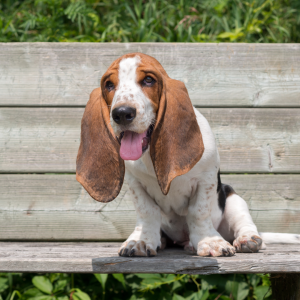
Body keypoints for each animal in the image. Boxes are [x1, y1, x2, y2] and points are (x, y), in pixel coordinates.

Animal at [77, 52, 298, 256]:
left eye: (148, 80)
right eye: (109, 85)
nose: (122, 113)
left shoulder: (206, 179)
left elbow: (198, 212)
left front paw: (210, 242)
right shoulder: (135, 184)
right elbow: (148, 213)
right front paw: (141, 241)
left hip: (233, 199)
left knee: (245, 224)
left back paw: (247, 240)